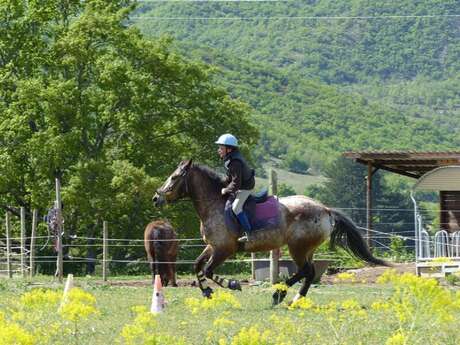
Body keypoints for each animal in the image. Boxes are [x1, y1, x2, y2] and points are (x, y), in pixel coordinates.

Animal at [152, 159, 388, 304]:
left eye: (174, 178)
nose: (156, 198)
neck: (214, 204)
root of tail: (325, 210)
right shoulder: (213, 246)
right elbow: (197, 265)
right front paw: (207, 291)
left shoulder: (224, 249)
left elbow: (209, 270)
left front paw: (233, 284)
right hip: (307, 249)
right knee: (309, 272)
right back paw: (294, 299)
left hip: (297, 247)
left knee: (306, 271)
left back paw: (279, 294)